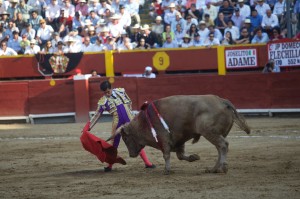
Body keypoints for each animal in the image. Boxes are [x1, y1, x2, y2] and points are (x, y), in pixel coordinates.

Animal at [116, 95, 250, 174]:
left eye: (125, 138)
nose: (131, 155)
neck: (145, 121)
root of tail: (223, 101)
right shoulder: (179, 139)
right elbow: (180, 155)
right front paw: (194, 157)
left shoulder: (164, 137)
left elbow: (166, 155)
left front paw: (167, 170)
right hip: (216, 134)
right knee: (219, 148)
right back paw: (214, 169)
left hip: (209, 132)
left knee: (223, 145)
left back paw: (223, 167)